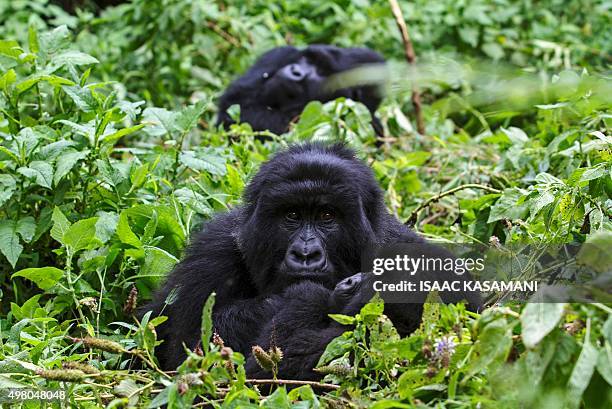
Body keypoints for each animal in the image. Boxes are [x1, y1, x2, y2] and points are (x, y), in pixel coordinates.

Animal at [145, 143, 482, 372]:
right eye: (292, 216)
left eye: (327, 216)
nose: (306, 253)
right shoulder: (211, 255)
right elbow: (192, 350)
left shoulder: (406, 247)